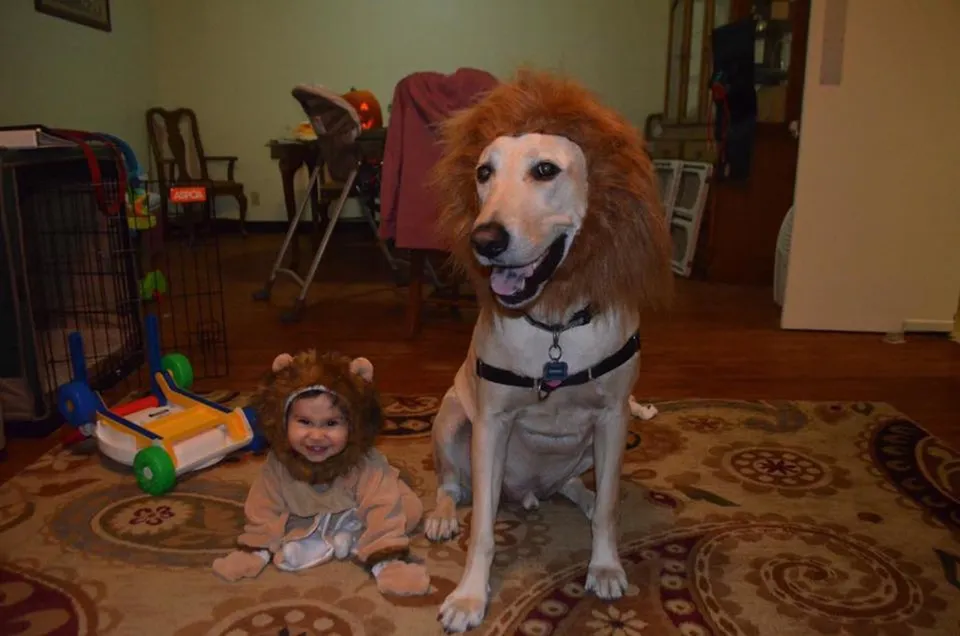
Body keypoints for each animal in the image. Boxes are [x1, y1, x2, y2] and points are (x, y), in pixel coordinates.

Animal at [424, 71, 672, 632]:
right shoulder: (491, 423)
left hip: (588, 446)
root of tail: (527, 492)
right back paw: (443, 516)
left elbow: (610, 507)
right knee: (453, 484)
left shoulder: (613, 417)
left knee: (581, 487)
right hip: (451, 420)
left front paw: (605, 565)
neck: (554, 321)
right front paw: (469, 596)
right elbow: (483, 529)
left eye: (545, 170)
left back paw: (582, 496)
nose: (484, 240)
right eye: (483, 172)